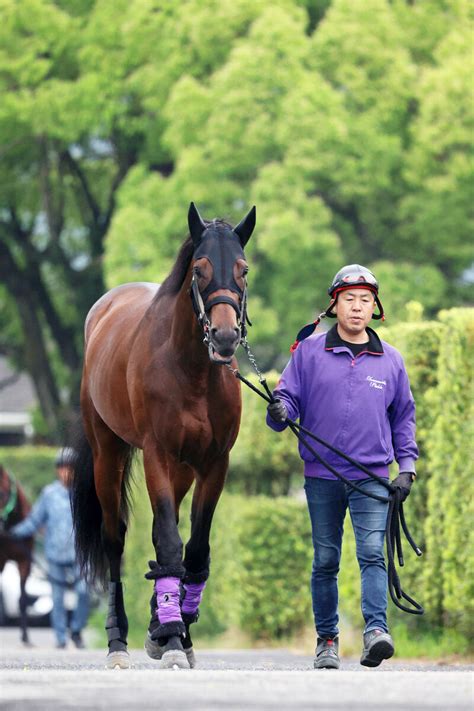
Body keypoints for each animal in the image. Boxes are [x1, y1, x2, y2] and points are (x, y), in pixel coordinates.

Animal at [71, 203, 256, 672]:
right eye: (200, 269)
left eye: (243, 269)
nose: (225, 337)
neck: (192, 371)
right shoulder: (156, 452)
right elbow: (171, 543)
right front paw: (172, 638)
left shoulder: (214, 463)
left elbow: (195, 549)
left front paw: (178, 629)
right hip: (108, 454)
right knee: (115, 537)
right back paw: (118, 642)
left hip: (182, 468)